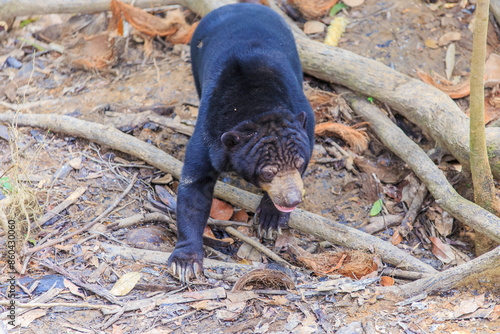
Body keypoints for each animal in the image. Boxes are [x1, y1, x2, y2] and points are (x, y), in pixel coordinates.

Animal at [170, 3, 314, 284]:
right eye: (267, 172)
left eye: (300, 164)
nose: (292, 200)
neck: (257, 106)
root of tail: (238, 4)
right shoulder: (209, 135)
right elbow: (194, 188)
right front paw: (185, 263)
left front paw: (270, 219)